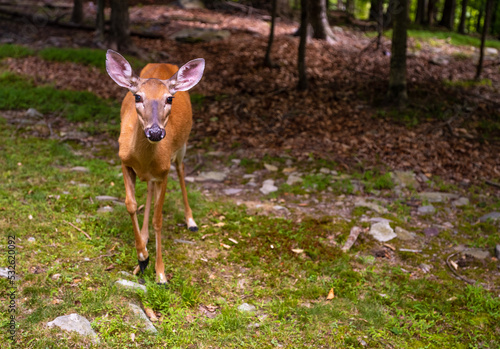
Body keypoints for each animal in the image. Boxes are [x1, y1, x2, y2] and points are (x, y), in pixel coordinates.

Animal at [105, 49, 205, 282]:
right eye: (137, 96)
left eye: (169, 98)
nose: (156, 132)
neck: (142, 158)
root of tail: (162, 62)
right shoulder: (124, 161)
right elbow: (131, 205)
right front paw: (142, 257)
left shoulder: (164, 172)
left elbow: (159, 220)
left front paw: (160, 274)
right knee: (150, 187)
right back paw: (144, 237)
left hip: (181, 148)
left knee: (181, 171)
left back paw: (191, 221)